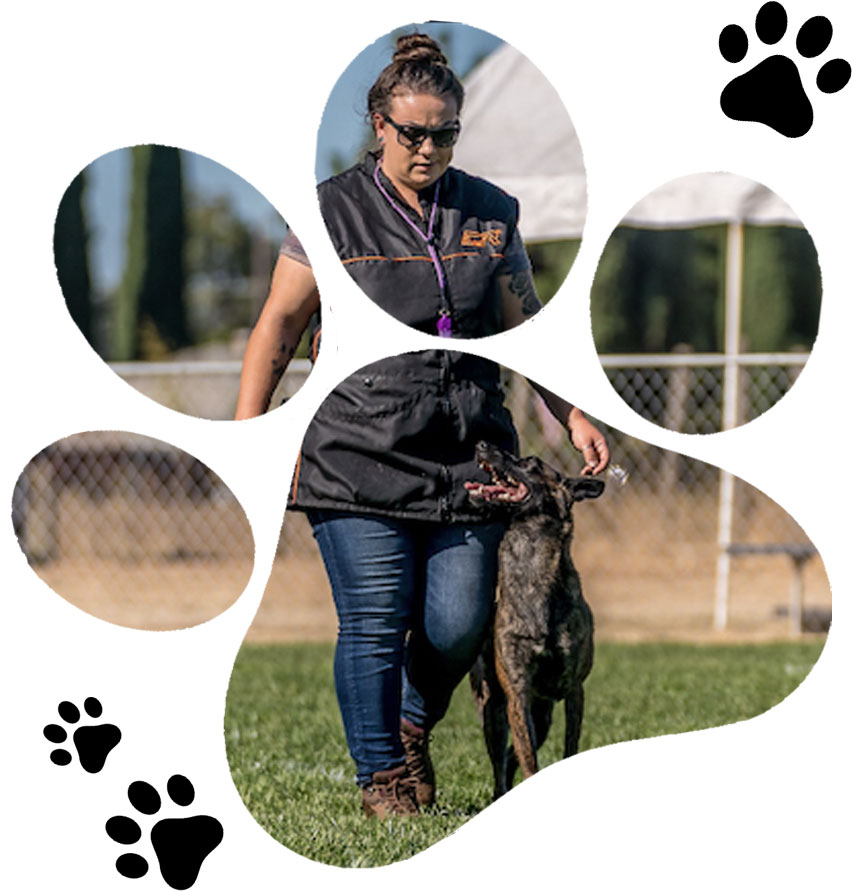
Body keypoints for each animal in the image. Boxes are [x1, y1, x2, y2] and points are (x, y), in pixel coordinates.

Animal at [466, 442, 604, 796]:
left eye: (530, 463)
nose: (482, 444)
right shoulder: (517, 693)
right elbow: (527, 758)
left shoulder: (574, 690)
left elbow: (569, 748)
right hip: (494, 712)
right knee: (502, 763)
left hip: (542, 716)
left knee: (512, 757)